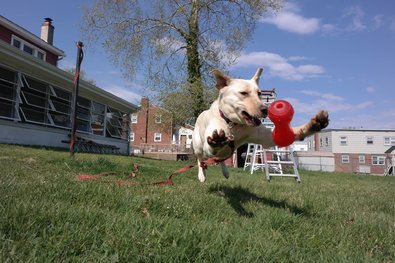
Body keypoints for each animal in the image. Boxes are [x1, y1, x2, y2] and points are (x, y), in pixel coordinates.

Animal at [193, 69, 330, 183]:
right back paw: (202, 175)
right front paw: (217, 141)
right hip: (199, 147)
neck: (233, 124)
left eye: (259, 93)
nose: (266, 109)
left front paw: (314, 124)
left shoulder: (266, 136)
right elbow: (212, 146)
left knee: (220, 159)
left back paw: (225, 171)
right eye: (243, 93)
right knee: (201, 160)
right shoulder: (209, 143)